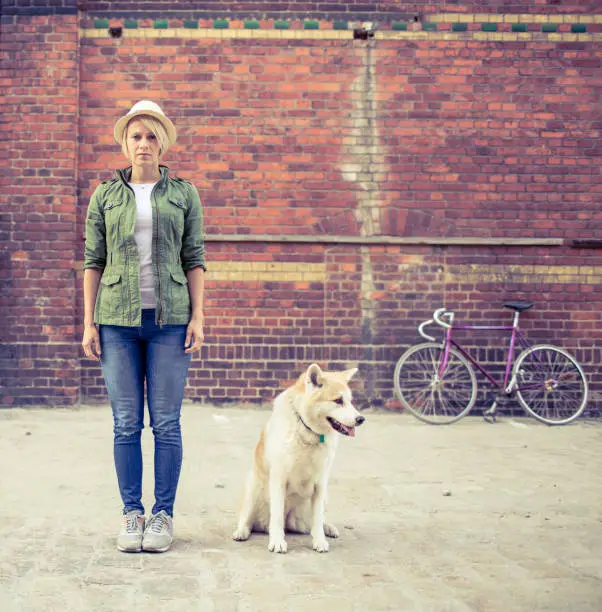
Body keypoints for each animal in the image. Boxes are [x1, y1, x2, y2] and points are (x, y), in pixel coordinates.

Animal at [232, 360, 364, 552]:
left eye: (350, 401)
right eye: (338, 401)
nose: (361, 419)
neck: (308, 432)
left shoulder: (320, 484)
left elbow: (317, 518)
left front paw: (320, 540)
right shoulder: (278, 479)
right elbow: (277, 516)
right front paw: (277, 541)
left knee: (314, 522)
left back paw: (328, 528)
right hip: (252, 487)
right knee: (248, 520)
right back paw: (242, 531)